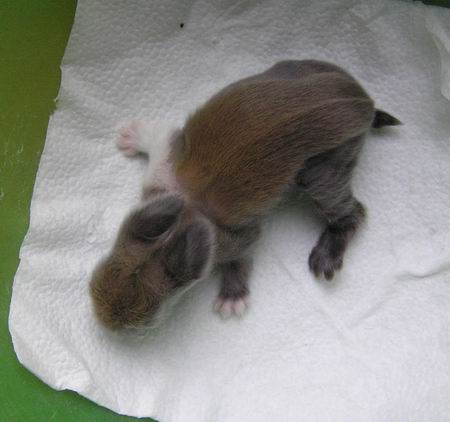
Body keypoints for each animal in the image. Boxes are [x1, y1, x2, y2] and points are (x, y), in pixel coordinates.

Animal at [90, 60, 400, 330]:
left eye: (141, 324)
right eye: (98, 272)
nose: (106, 321)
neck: (188, 209)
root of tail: (365, 101)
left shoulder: (235, 240)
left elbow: (241, 259)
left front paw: (232, 299)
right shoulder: (164, 166)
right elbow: (157, 137)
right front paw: (130, 136)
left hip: (328, 167)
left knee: (352, 210)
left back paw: (326, 255)